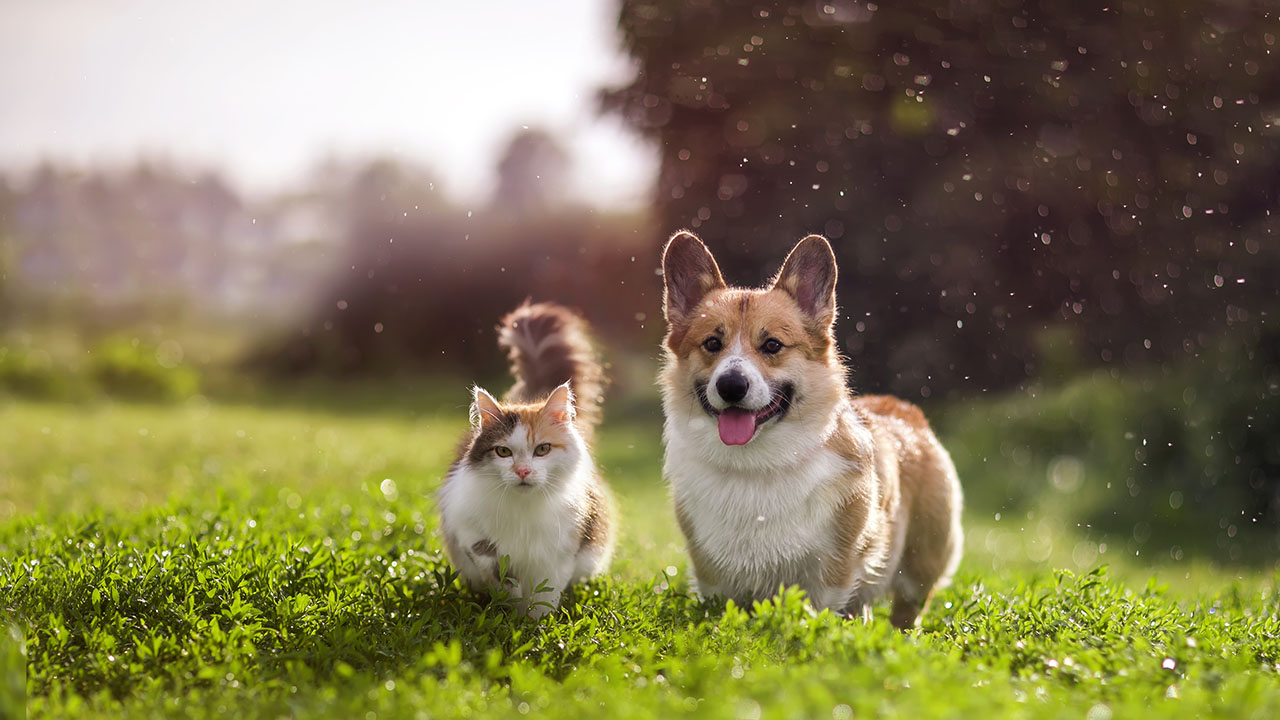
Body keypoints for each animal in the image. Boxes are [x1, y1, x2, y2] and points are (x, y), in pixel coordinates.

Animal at [435, 299, 614, 614]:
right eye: (503, 452)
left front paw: (534, 622)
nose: (522, 471)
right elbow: (492, 563)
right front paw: (510, 602)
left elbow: (544, 597)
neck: (523, 510)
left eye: (542, 450)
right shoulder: (466, 527)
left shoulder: (559, 552)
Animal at [660, 233, 962, 625]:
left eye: (772, 345)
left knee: (906, 611)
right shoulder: (711, 574)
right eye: (712, 343)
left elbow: (821, 611)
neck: (755, 465)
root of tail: (904, 409)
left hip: (920, 565)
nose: (731, 386)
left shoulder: (833, 570)